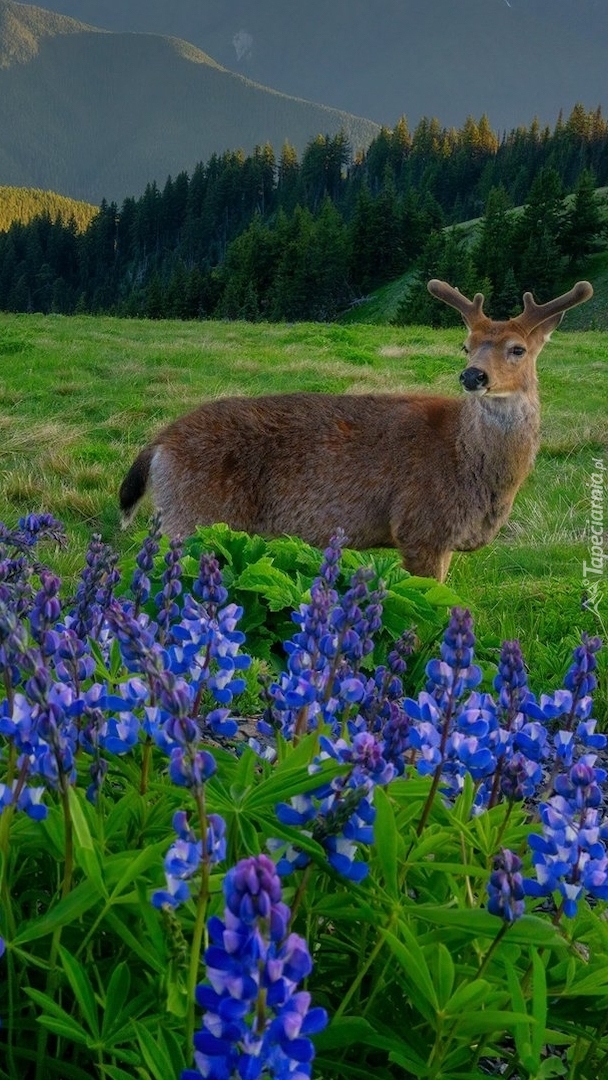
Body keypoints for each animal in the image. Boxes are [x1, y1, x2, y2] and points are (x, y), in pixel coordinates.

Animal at [120, 278, 596, 583]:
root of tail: (158, 445)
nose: (473, 375)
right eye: (466, 345)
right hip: (192, 516)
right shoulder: (421, 527)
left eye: (517, 349)